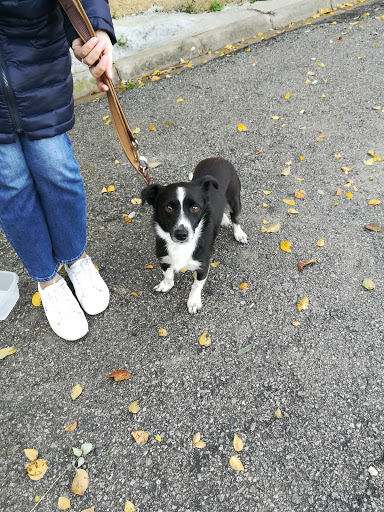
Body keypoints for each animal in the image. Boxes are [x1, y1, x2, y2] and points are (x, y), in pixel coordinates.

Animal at [140, 158, 246, 314]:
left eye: (195, 208)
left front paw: (194, 302)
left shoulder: (203, 265)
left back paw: (239, 233)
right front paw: (166, 285)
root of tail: (218, 158)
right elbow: (168, 275)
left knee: (235, 217)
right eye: (168, 208)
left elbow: (196, 285)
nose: (181, 234)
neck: (180, 246)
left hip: (235, 198)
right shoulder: (163, 258)